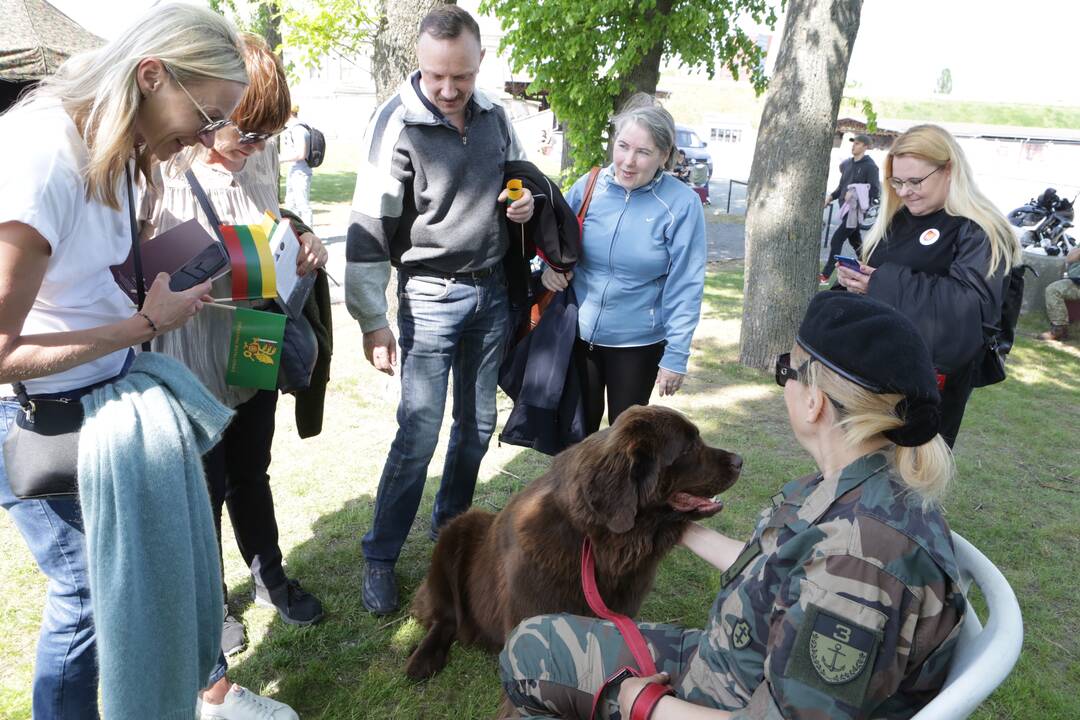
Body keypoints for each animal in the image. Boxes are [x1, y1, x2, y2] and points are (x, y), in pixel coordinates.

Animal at [406, 405, 743, 682]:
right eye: (690, 446)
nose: (740, 460)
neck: (595, 543)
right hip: (459, 528)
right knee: (446, 616)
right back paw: (423, 659)